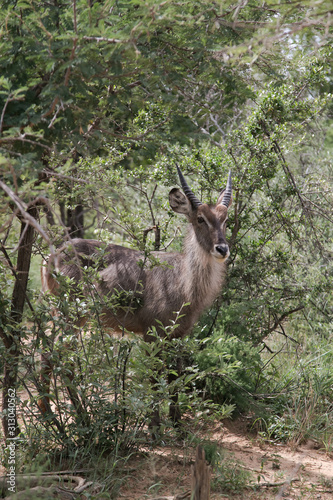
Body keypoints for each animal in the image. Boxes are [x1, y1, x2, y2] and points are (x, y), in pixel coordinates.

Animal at [39, 167, 231, 426]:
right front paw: (155, 426)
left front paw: (177, 423)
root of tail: (54, 255)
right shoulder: (152, 334)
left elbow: (175, 377)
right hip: (70, 313)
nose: (222, 249)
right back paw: (59, 414)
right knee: (53, 354)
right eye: (200, 218)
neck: (183, 281)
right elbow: (153, 378)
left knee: (58, 354)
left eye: (225, 218)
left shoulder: (178, 336)